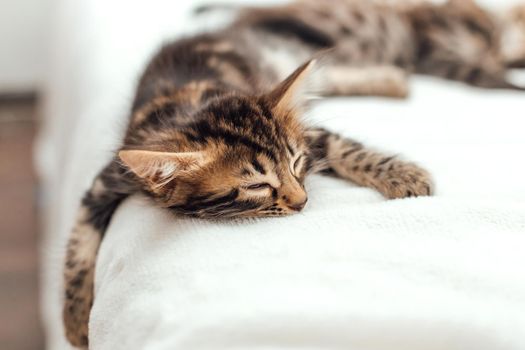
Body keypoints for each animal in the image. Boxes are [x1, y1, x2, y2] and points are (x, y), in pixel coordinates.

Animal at [64, 0, 524, 346]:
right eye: (255, 185)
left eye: (297, 163)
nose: (302, 202)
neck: (187, 108)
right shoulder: (107, 179)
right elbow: (76, 253)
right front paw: (75, 322)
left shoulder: (311, 134)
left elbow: (346, 147)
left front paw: (403, 175)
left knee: (328, 69)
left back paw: (391, 80)